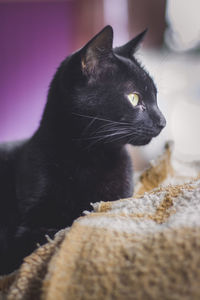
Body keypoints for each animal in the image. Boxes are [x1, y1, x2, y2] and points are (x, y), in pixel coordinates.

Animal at [0, 26, 166, 274]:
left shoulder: (120, 196)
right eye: (134, 97)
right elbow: (63, 225)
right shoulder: (27, 227)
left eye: (155, 96)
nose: (163, 121)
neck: (90, 156)